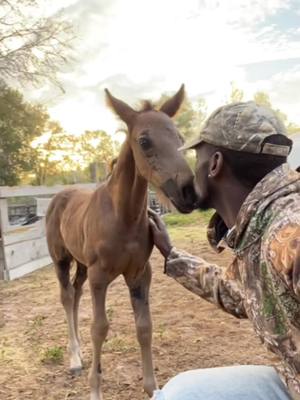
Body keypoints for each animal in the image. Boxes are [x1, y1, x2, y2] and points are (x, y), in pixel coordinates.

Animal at [45, 85, 197, 400]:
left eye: (179, 138)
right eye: (144, 141)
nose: (189, 191)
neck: (122, 217)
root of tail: (59, 196)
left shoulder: (139, 273)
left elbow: (144, 327)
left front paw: (152, 387)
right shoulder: (99, 276)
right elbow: (99, 328)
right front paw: (95, 389)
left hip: (81, 266)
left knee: (75, 294)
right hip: (61, 260)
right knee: (66, 297)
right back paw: (75, 359)